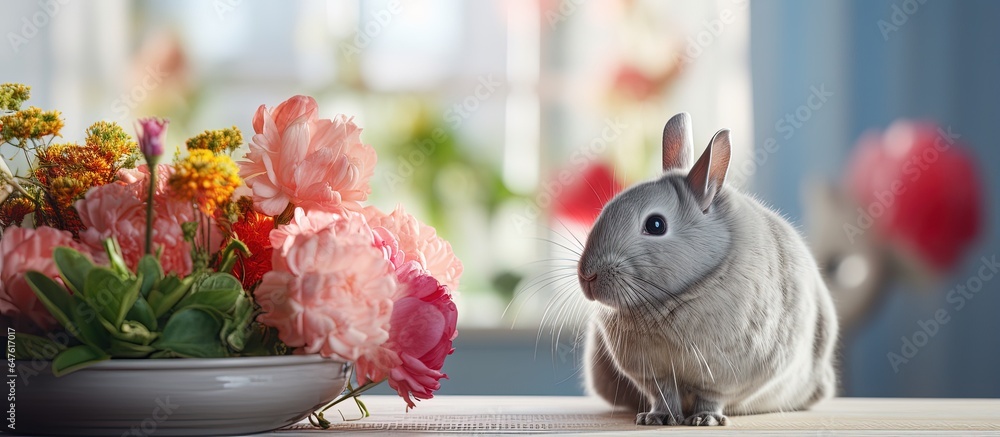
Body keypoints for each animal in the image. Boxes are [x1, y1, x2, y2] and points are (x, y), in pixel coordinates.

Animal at [580, 113, 836, 426]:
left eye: (655, 224)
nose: (587, 276)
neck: (670, 299)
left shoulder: (723, 374)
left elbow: (710, 396)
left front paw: (705, 419)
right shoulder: (655, 373)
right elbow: (664, 395)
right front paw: (656, 418)